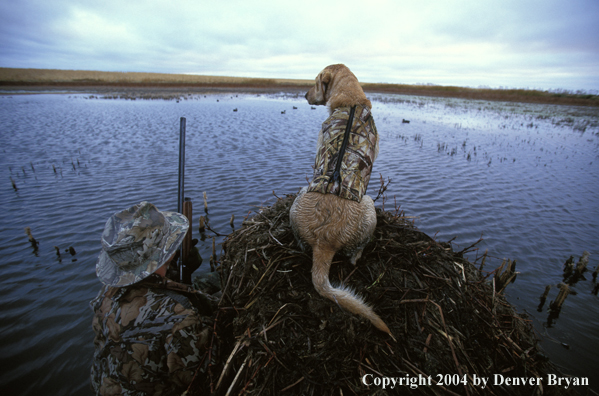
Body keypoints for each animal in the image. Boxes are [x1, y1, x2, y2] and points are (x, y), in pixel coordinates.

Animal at [290, 64, 394, 338]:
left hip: (299, 196)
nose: (304, 95)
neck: (351, 102)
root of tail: (324, 240)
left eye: (315, 83)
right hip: (369, 208)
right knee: (356, 253)